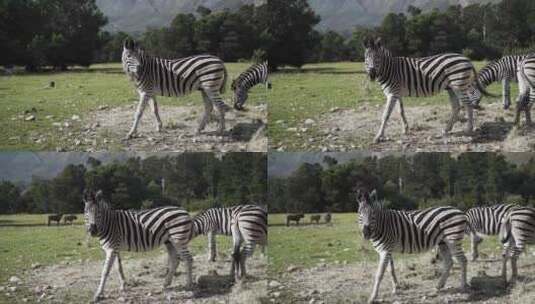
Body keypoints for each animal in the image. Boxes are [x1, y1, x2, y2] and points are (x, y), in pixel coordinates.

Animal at [362, 36, 496, 144]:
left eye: (378, 57)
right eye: (366, 58)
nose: (372, 74)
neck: (391, 70)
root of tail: (466, 58)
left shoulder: (392, 93)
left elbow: (386, 115)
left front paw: (378, 136)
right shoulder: (397, 93)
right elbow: (401, 111)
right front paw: (405, 128)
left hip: (459, 85)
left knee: (467, 105)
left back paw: (468, 129)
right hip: (451, 88)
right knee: (456, 106)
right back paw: (447, 129)